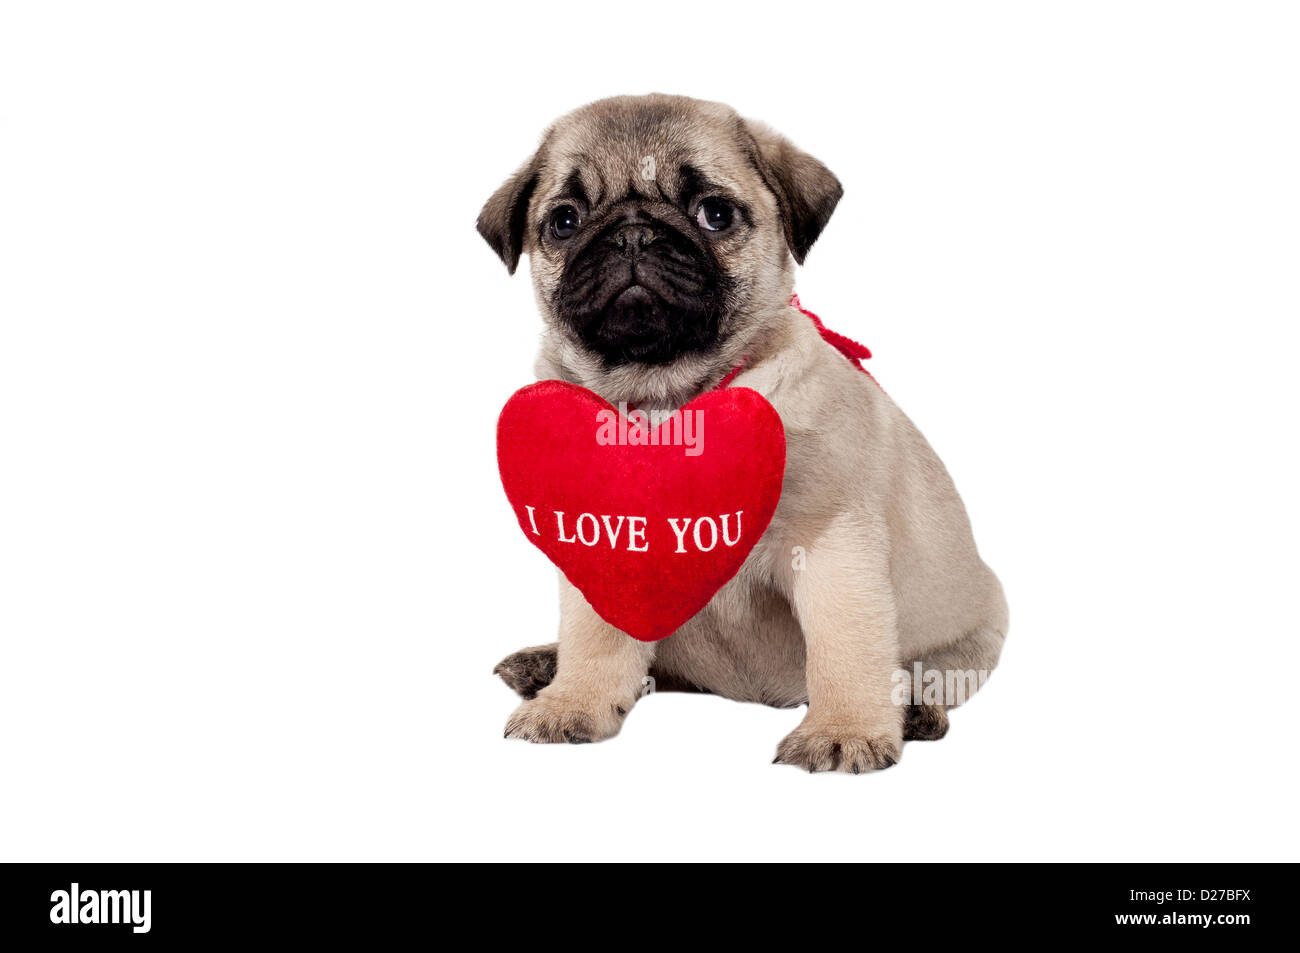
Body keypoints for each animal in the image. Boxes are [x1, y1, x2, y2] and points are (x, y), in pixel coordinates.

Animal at [478, 92, 1003, 769]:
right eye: (565, 222)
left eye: (715, 214)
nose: (632, 234)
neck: (665, 400)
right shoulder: (604, 548)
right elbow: (594, 637)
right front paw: (573, 702)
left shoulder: (832, 545)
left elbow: (846, 646)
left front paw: (846, 729)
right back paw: (547, 665)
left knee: (926, 673)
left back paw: (913, 709)